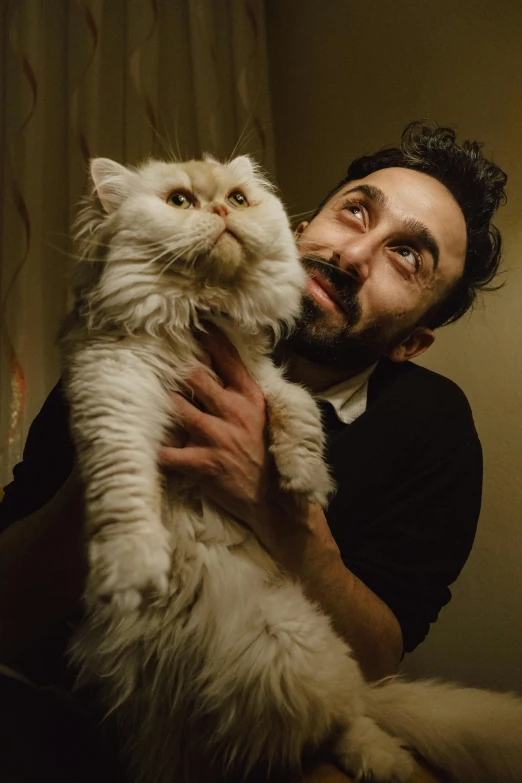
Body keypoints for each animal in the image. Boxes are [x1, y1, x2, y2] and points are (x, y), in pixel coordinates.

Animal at [64, 155, 520, 783]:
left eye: (237, 198)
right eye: (180, 201)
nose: (222, 210)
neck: (200, 314)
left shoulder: (267, 381)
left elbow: (297, 419)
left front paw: (302, 483)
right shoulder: (115, 391)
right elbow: (125, 488)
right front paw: (135, 568)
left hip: (295, 654)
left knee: (349, 720)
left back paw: (387, 763)